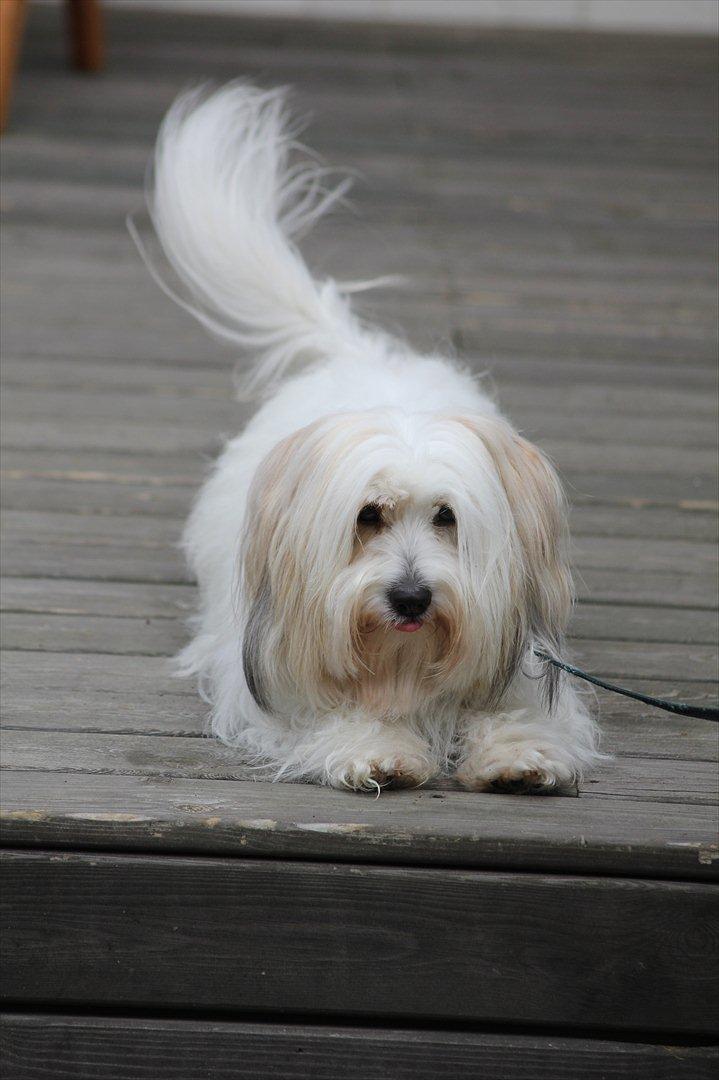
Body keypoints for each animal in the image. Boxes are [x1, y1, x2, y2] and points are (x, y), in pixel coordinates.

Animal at [145, 82, 600, 794]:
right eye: (366, 516)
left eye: (447, 517)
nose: (410, 597)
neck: (403, 661)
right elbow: (334, 715)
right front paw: (377, 748)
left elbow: (515, 711)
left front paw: (518, 754)